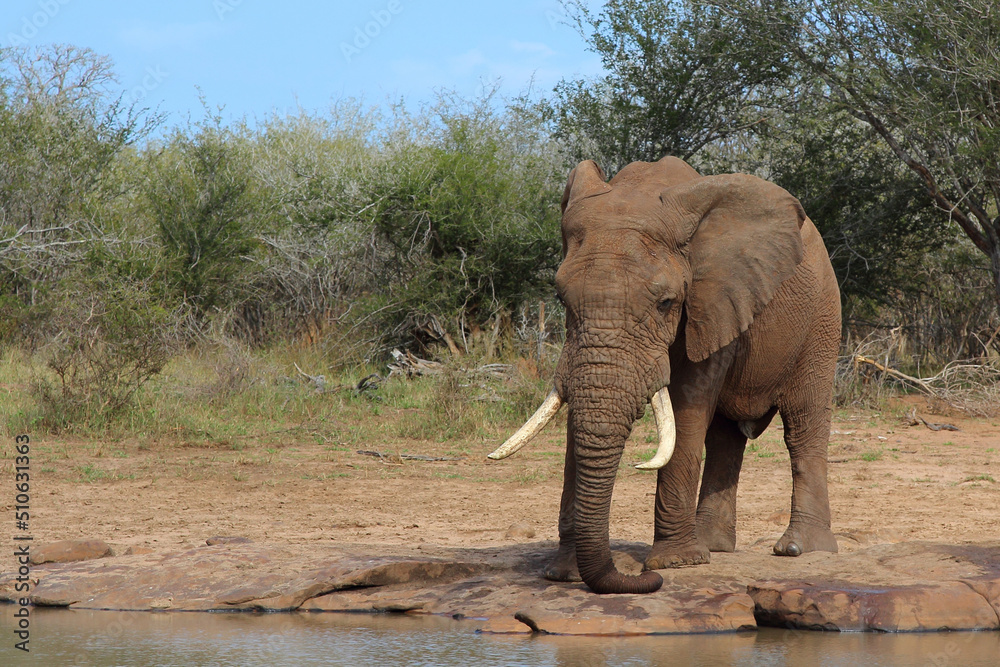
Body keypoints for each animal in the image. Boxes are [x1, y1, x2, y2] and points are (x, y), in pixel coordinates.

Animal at [489, 156, 841, 595]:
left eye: (666, 303)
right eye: (560, 298)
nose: (646, 579)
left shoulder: (712, 298)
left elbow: (687, 409)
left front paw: (674, 563)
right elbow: (576, 418)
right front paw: (565, 573)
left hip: (822, 317)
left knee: (803, 424)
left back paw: (799, 548)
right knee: (725, 437)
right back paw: (713, 546)